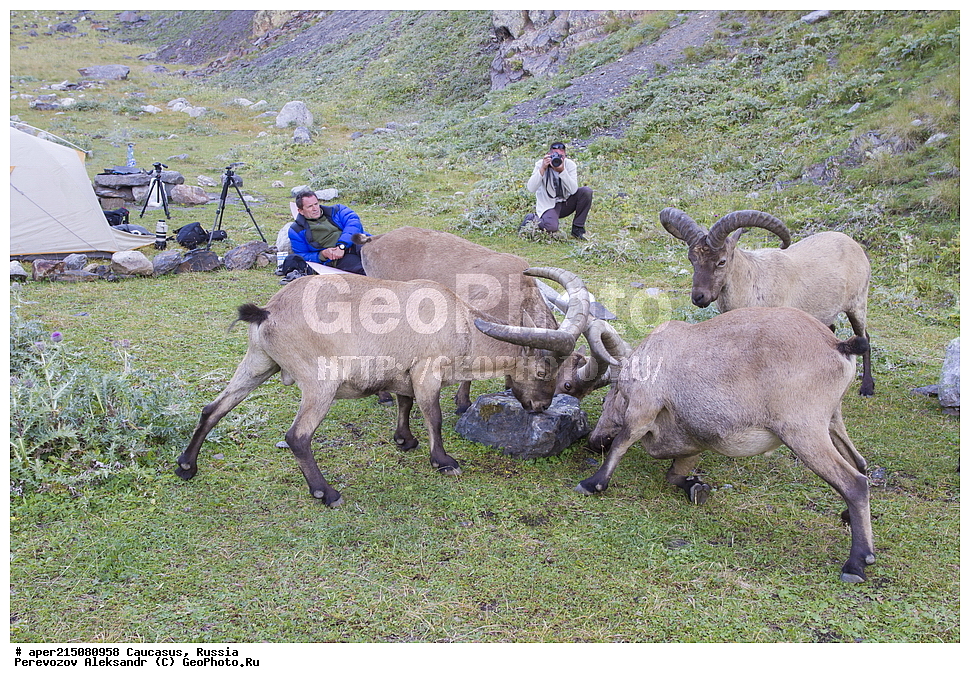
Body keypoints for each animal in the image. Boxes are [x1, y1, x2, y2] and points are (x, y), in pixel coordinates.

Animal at [176, 267, 592, 507]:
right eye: (545, 368)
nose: (540, 407)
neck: (464, 327)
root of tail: (267, 312)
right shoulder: (428, 371)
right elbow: (434, 416)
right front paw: (444, 462)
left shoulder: (404, 373)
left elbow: (405, 404)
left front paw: (404, 440)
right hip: (320, 383)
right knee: (298, 436)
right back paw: (327, 493)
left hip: (258, 363)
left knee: (213, 409)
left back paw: (186, 467)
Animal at [356, 226, 621, 409]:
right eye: (567, 384)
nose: (541, 407)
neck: (516, 292)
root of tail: (373, 240)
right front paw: (463, 403)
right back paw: (383, 395)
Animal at [577, 306, 875, 582]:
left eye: (606, 400)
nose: (593, 441)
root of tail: (838, 345)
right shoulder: (692, 442)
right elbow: (674, 474)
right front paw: (696, 487)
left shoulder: (644, 407)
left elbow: (621, 442)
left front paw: (593, 483)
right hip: (832, 422)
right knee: (859, 463)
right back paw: (848, 518)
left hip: (803, 430)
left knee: (854, 483)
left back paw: (857, 563)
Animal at [660, 208, 874, 395]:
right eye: (692, 259)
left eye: (721, 261)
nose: (699, 297)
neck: (752, 283)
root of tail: (853, 244)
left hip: (857, 304)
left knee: (865, 336)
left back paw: (867, 387)